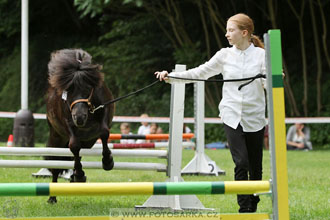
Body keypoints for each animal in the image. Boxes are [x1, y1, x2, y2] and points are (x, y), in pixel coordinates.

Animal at [45, 48, 114, 203]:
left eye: (88, 88)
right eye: (68, 90)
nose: (80, 118)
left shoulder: (105, 108)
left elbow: (104, 132)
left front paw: (107, 161)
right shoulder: (67, 121)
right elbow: (74, 145)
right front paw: (79, 175)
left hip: (89, 141)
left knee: (80, 153)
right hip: (56, 138)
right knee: (55, 163)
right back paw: (53, 196)